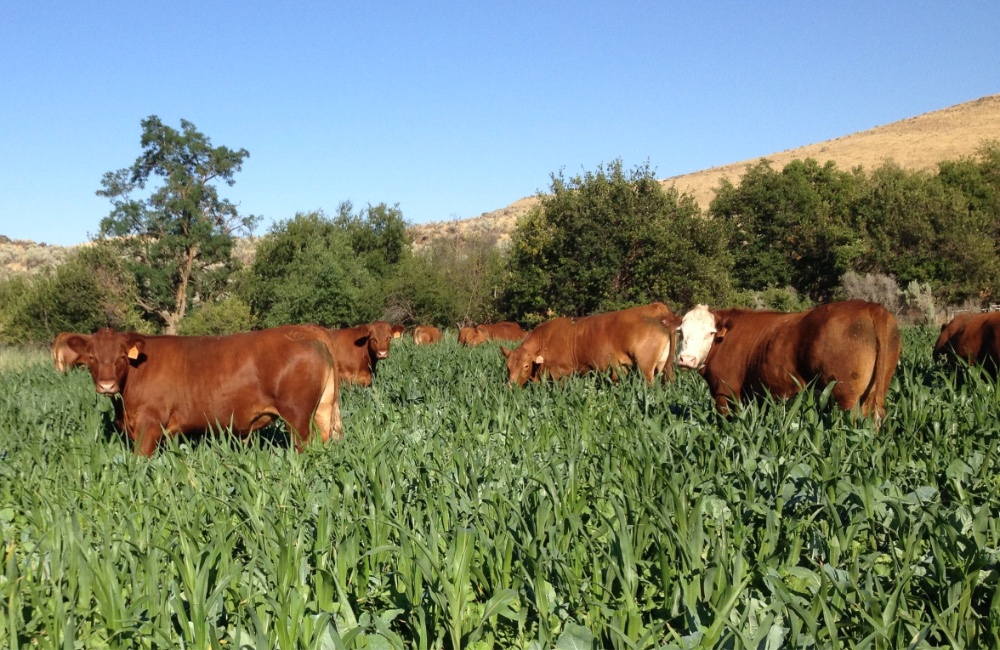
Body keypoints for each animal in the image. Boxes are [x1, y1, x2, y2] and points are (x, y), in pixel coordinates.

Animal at [63, 324, 344, 456]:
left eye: (122, 356)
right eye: (91, 357)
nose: (107, 385)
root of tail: (306, 330)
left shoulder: (148, 426)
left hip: (297, 417)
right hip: (323, 409)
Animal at [500, 306, 680, 384]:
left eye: (525, 366)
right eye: (508, 367)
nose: (511, 385)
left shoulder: (563, 372)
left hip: (645, 368)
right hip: (664, 366)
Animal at [676, 300, 904, 420]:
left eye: (710, 332)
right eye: (681, 332)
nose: (686, 359)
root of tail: (870, 307)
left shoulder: (725, 392)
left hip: (846, 396)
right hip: (871, 394)